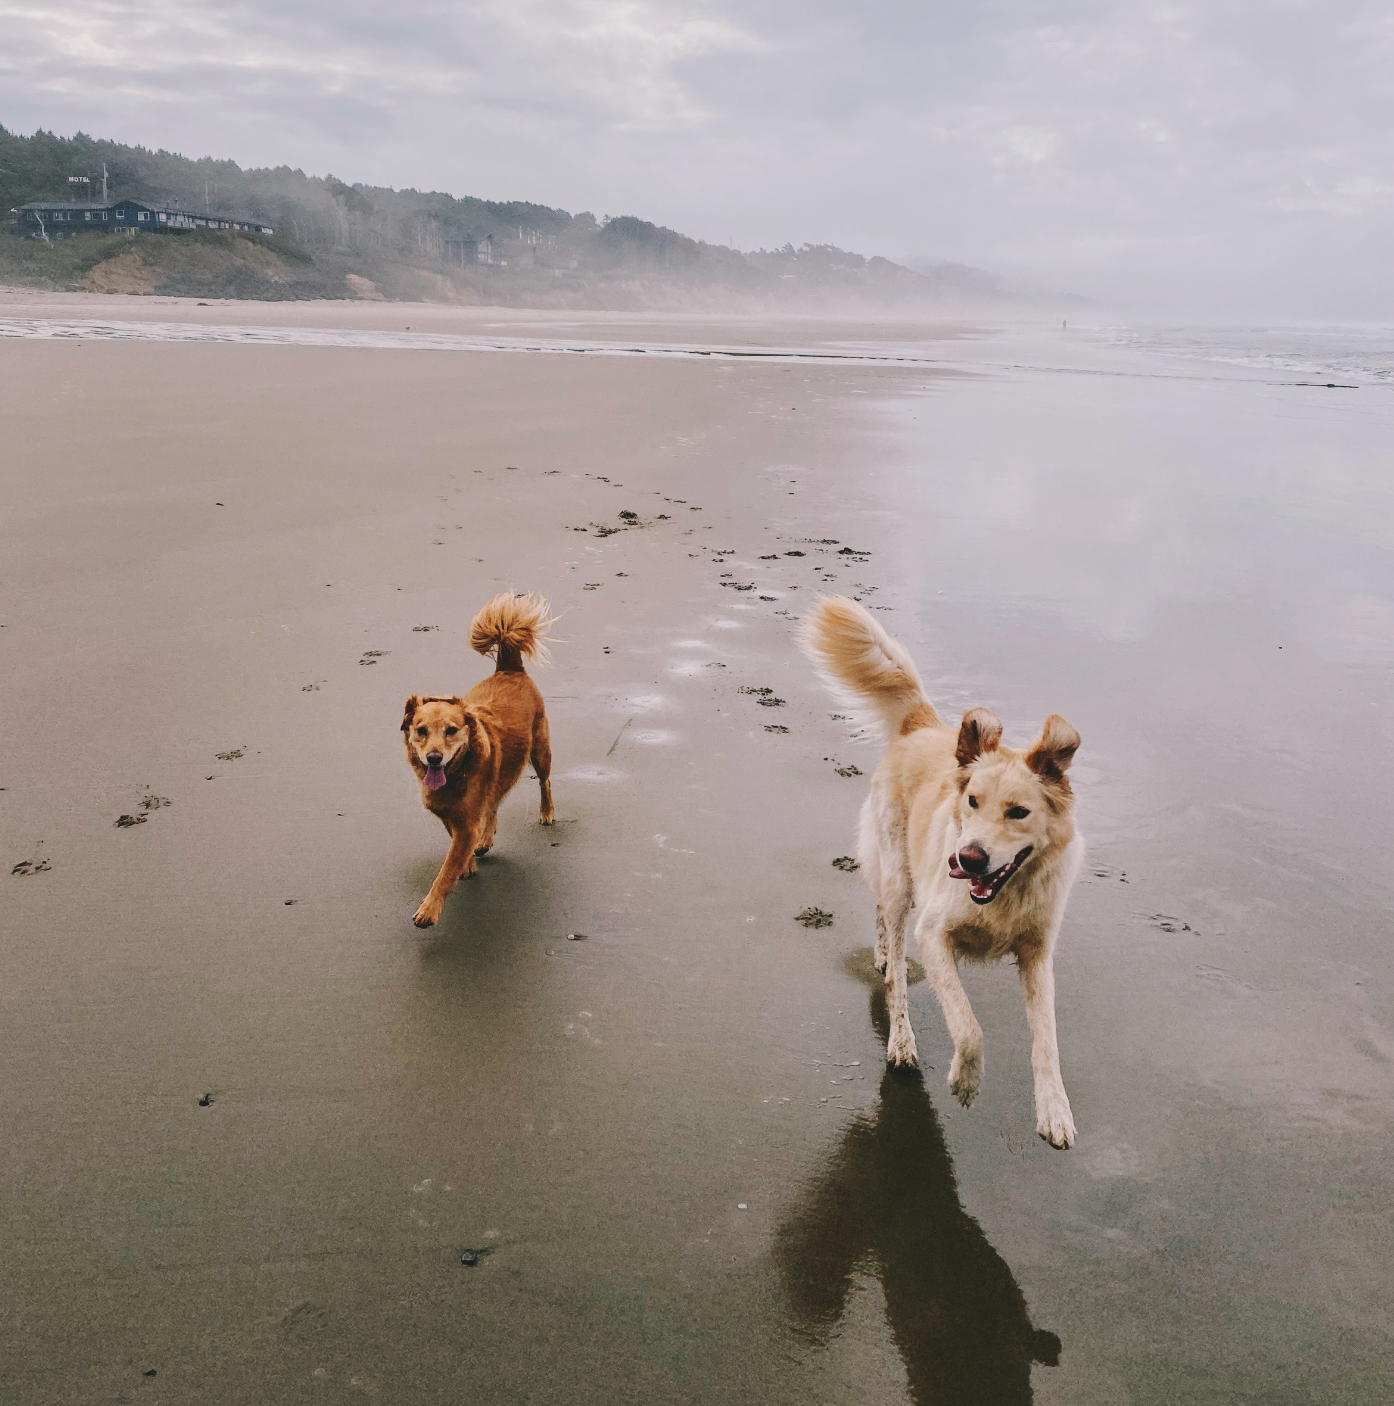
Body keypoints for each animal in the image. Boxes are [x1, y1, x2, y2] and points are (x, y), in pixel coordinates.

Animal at [396, 590, 557, 927]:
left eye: (451, 730)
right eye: (421, 730)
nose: (433, 758)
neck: (457, 772)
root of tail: (509, 669)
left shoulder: (466, 822)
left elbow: (445, 871)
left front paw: (429, 909)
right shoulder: (451, 816)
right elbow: (461, 842)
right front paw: (469, 863)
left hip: (540, 750)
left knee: (545, 782)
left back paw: (546, 812)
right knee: (494, 801)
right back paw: (486, 839)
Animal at [798, 598, 1085, 1147]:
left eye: (1018, 812)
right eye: (971, 801)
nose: (967, 859)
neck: (1002, 898)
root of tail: (922, 723)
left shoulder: (1038, 954)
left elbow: (1049, 1040)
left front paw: (1055, 1110)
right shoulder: (933, 934)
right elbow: (968, 1027)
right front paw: (965, 1082)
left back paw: (884, 958)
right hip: (901, 877)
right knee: (893, 952)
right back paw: (900, 1037)